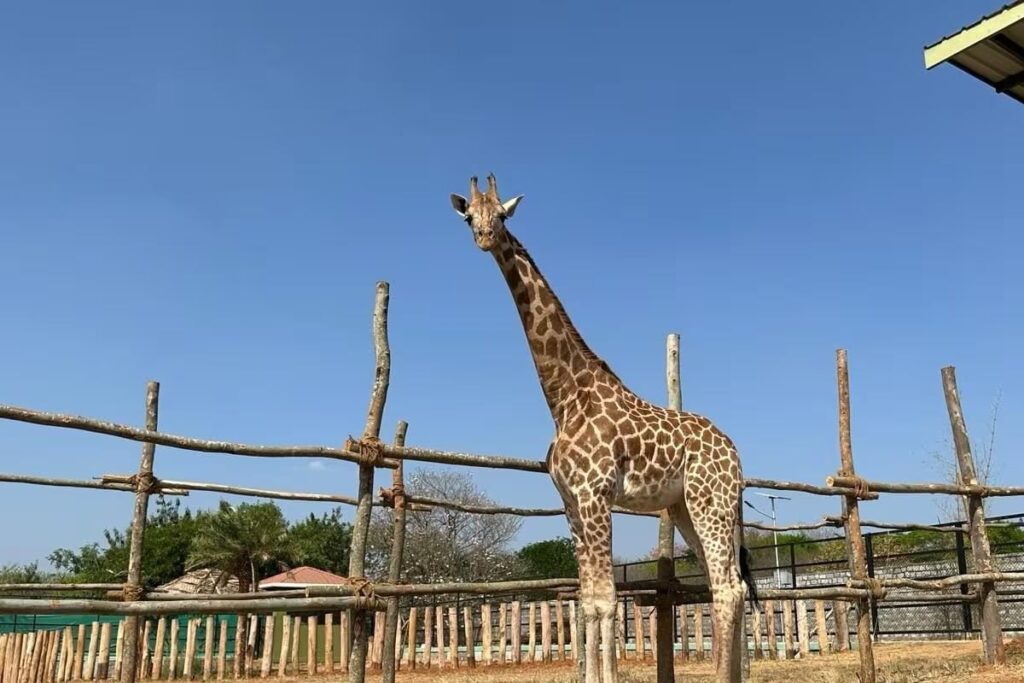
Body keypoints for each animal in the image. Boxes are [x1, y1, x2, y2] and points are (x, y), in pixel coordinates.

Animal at [450, 175, 756, 683]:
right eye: (470, 216)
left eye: (504, 215)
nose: (485, 238)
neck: (563, 399)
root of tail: (735, 452)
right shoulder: (572, 503)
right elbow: (588, 601)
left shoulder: (595, 494)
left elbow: (609, 601)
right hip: (688, 507)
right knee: (725, 585)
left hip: (710, 502)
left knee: (729, 587)